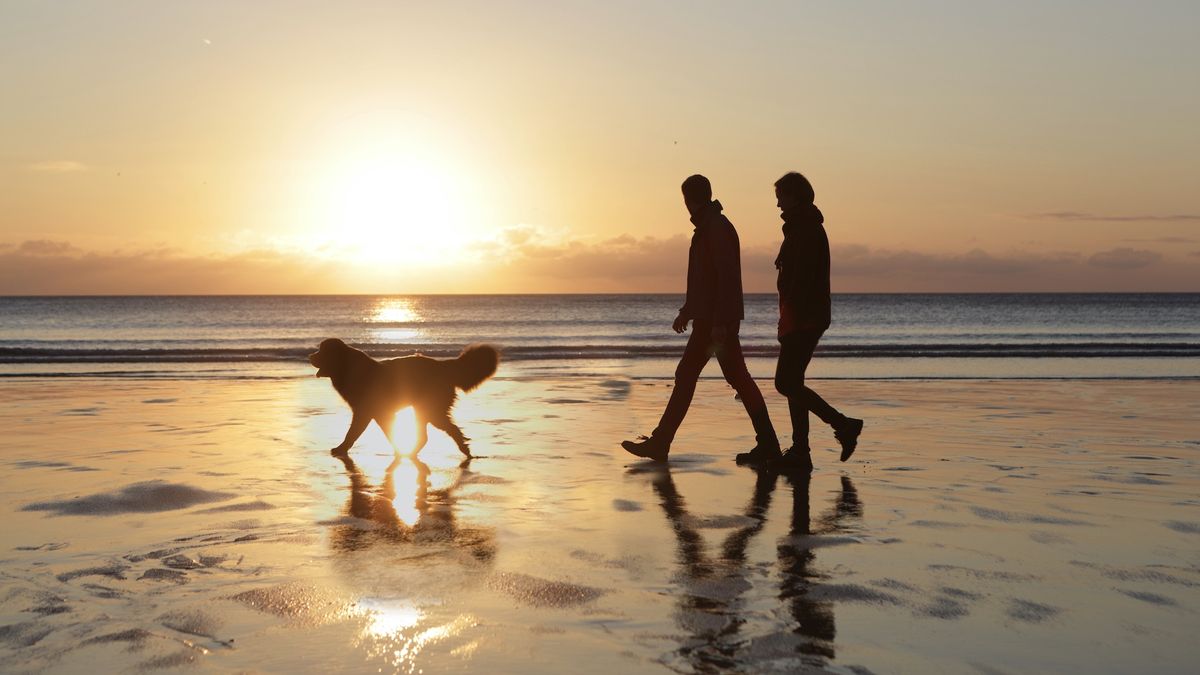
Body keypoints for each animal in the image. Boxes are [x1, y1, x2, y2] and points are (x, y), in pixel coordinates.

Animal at [312, 336, 499, 456]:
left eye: (322, 351)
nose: (310, 356)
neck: (347, 367)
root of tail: (443, 366)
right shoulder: (378, 414)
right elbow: (386, 432)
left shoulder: (364, 412)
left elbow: (352, 433)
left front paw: (341, 449)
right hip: (423, 411)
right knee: (429, 436)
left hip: (430, 411)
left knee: (446, 431)